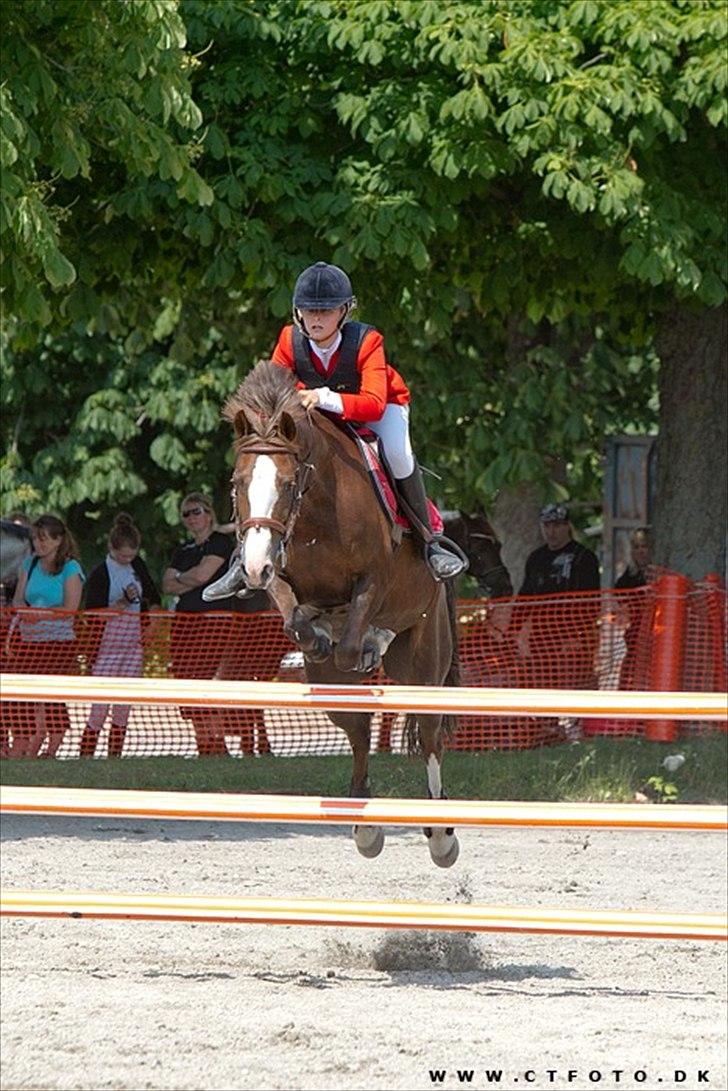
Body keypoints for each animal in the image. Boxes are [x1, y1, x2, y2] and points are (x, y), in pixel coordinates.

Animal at [204, 361, 461, 866]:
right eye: (236, 484)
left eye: (287, 484)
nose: (253, 565)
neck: (316, 510)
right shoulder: (280, 575)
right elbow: (296, 619)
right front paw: (316, 629)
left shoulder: (374, 578)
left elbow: (352, 634)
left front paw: (365, 641)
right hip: (327, 687)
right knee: (357, 729)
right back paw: (366, 827)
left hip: (424, 660)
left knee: (429, 734)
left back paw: (441, 835)